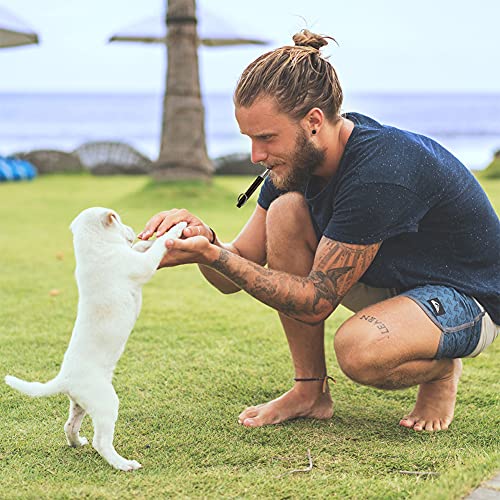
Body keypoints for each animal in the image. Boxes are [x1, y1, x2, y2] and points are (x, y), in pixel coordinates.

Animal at [5, 208, 186, 472]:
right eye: (120, 220)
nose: (134, 230)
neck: (94, 247)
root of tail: (64, 379)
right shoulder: (141, 266)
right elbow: (157, 248)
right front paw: (176, 229)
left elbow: (141, 247)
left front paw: (149, 239)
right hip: (106, 403)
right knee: (101, 441)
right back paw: (123, 464)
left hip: (80, 404)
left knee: (69, 425)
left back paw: (77, 442)